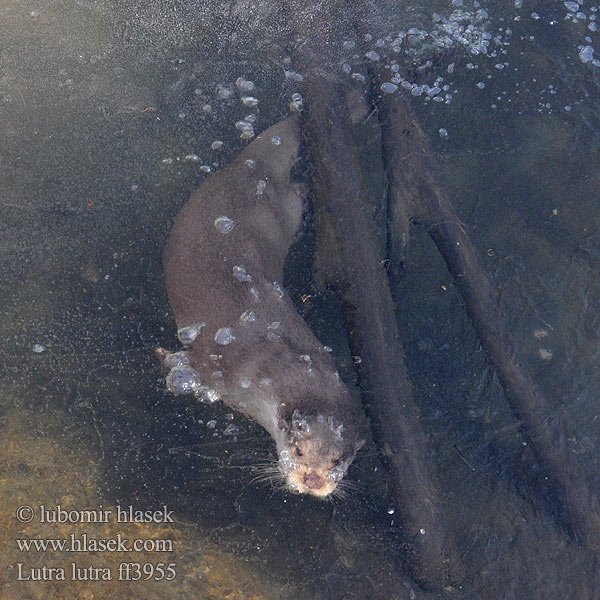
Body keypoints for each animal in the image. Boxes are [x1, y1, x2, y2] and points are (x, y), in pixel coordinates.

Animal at [161, 113, 366, 496]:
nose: (313, 480)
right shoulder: (218, 369)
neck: (262, 370)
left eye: (337, 460)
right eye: (298, 450)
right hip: (278, 203)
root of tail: (250, 165)